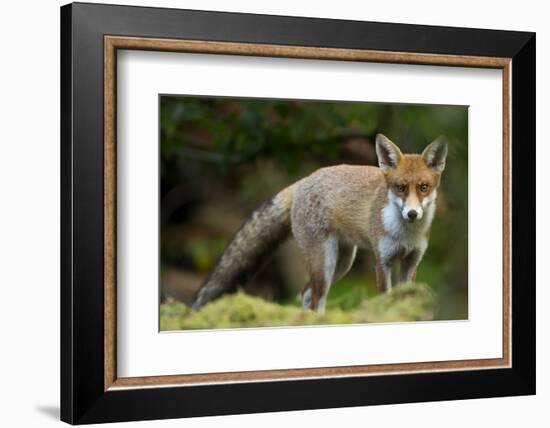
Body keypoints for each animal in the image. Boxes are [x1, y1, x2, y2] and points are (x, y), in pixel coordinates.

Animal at [193, 135, 448, 312]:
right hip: (324, 263)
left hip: (341, 263)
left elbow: (406, 298)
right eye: (400, 188)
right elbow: (385, 297)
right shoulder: (382, 262)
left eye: (424, 187)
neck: (407, 235)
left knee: (306, 294)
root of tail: (302, 181)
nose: (412, 214)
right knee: (315, 297)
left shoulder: (411, 262)